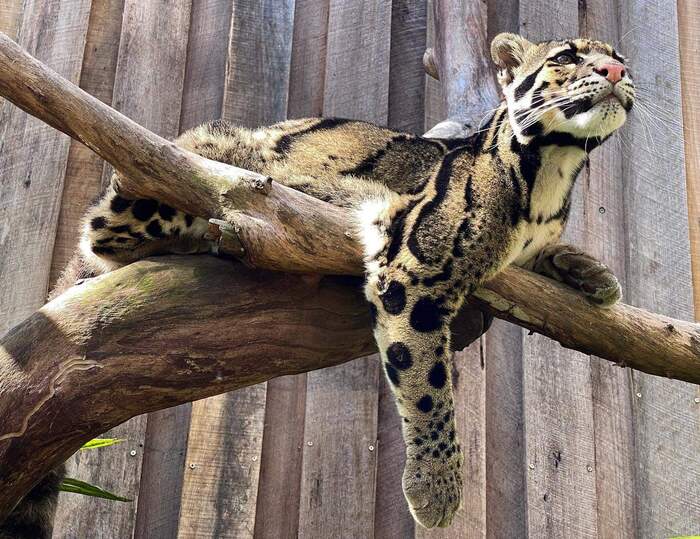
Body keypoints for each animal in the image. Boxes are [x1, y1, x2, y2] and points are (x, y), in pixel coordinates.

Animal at [1, 34, 636, 539]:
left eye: (620, 58)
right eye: (566, 57)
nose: (615, 72)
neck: (555, 170)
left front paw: (590, 273)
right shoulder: (416, 268)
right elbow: (427, 387)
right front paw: (436, 485)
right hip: (185, 163)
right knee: (109, 223)